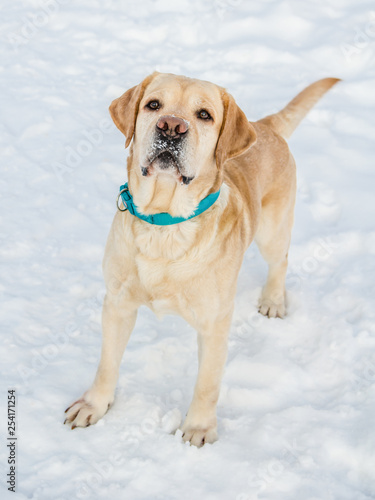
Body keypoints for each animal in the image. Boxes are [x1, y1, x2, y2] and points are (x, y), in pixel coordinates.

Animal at [65, 71, 340, 446]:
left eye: (204, 115)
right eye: (153, 105)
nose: (171, 127)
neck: (165, 225)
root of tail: (264, 125)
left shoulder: (215, 324)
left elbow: (207, 384)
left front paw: (198, 428)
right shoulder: (117, 304)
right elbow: (107, 363)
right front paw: (94, 405)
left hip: (272, 231)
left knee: (280, 261)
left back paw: (272, 300)